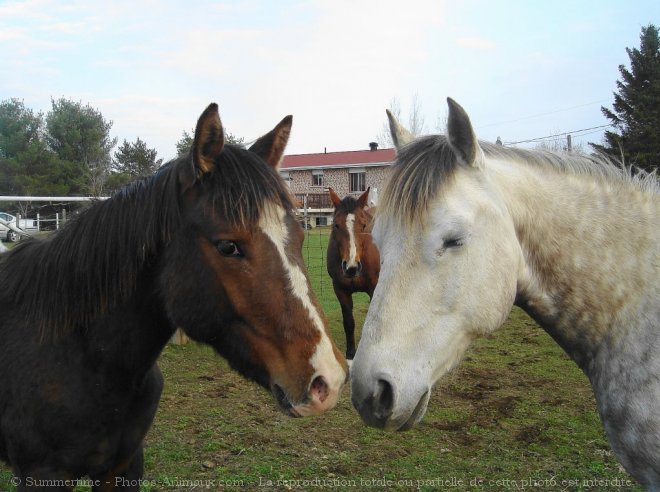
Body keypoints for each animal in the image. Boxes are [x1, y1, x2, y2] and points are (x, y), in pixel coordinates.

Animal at [0, 103, 348, 488]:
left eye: (300, 237)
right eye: (228, 246)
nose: (328, 380)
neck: (85, 356)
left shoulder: (123, 467)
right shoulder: (42, 475)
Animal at [326, 187, 378, 358]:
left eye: (364, 225)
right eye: (336, 225)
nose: (351, 267)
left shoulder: (374, 289)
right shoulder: (340, 290)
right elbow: (348, 322)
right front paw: (350, 352)